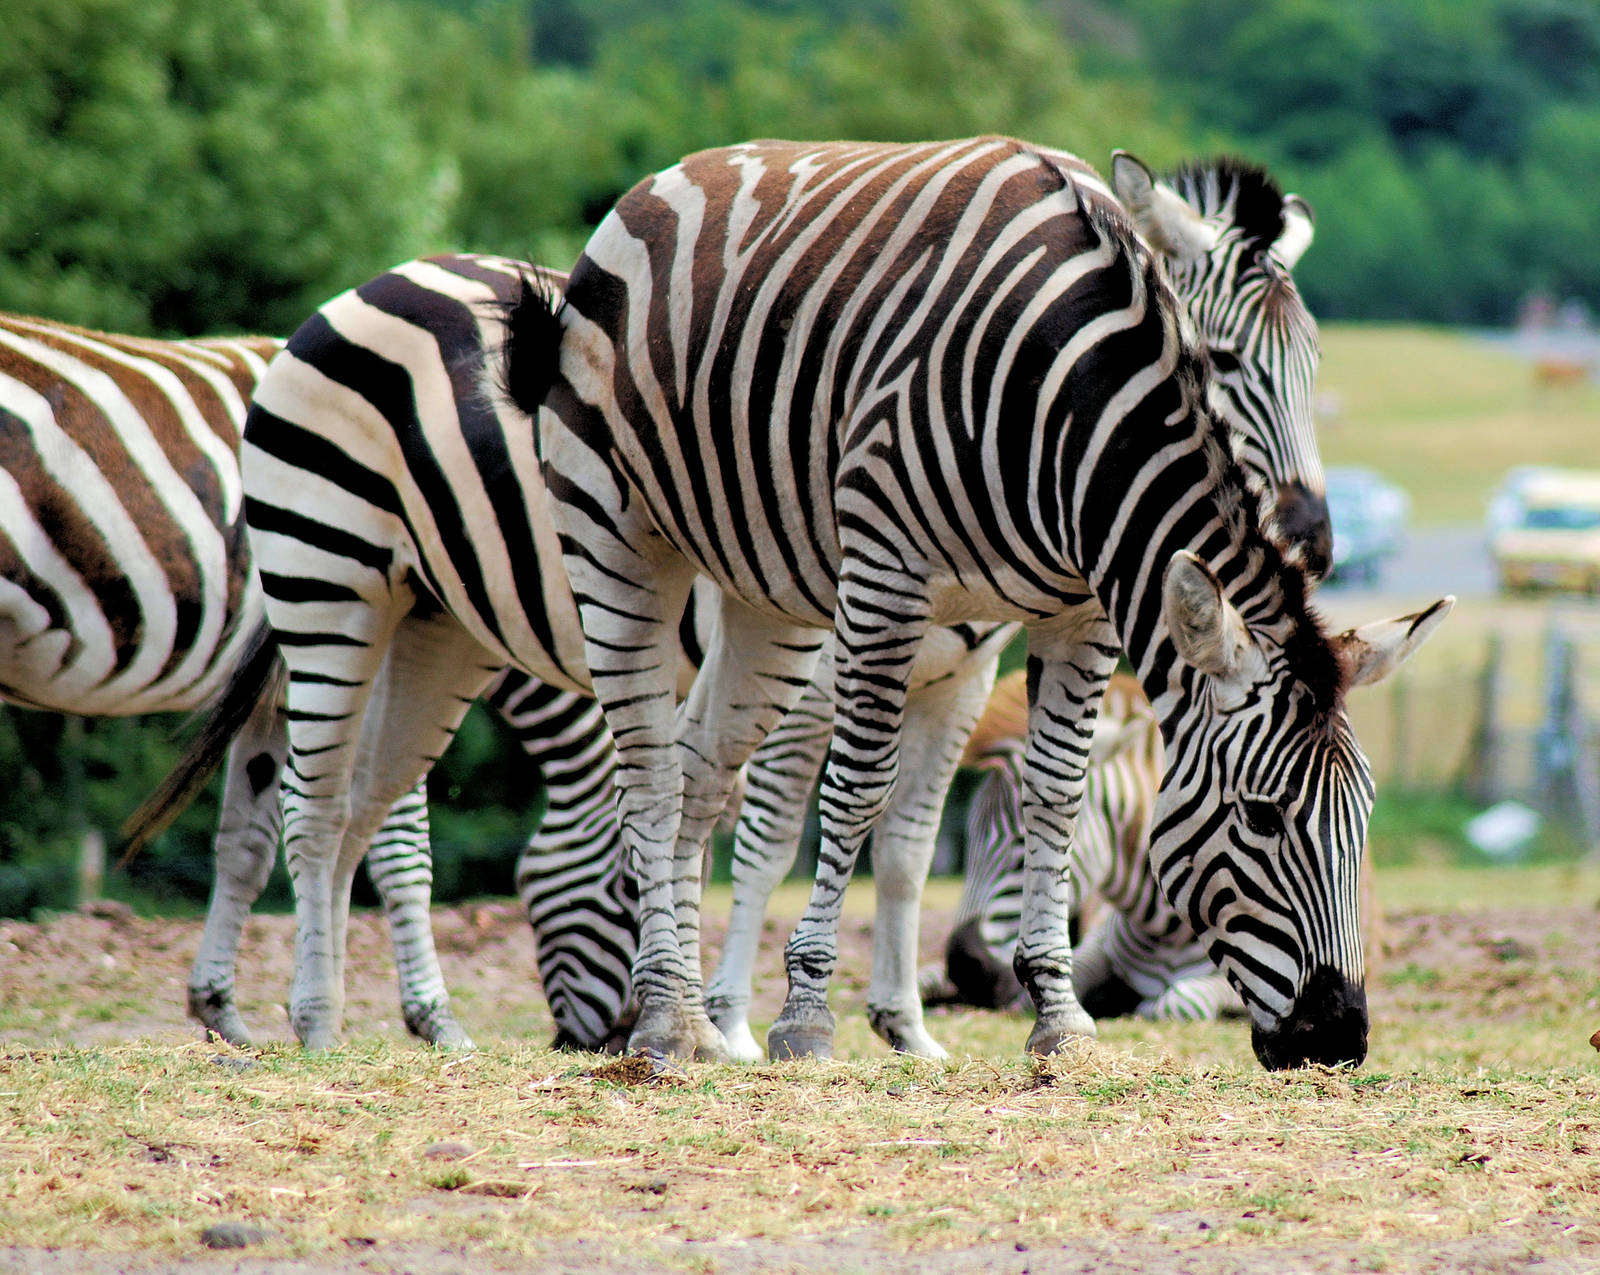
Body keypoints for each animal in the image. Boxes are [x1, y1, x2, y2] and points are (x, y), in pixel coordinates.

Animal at [507, 135, 1451, 1069]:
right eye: (1260, 815)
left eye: (1364, 813)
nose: (1340, 1037)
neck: (1067, 398)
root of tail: (674, 174)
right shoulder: (882, 584)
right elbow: (848, 797)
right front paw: (803, 1016)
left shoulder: (1072, 616)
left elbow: (1044, 798)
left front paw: (1056, 1018)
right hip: (618, 539)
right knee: (650, 775)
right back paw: (669, 1017)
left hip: (763, 597)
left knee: (700, 771)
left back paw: (691, 1021)